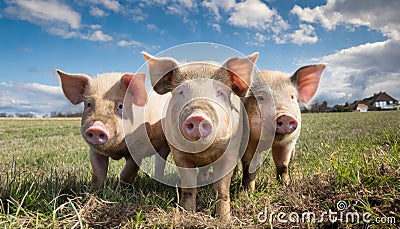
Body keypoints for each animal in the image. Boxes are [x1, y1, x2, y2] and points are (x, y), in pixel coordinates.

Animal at [142, 51, 258, 219]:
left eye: (220, 92)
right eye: (181, 92)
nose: (197, 116)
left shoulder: (230, 150)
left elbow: (223, 188)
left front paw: (224, 219)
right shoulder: (178, 154)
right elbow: (189, 186)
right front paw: (187, 212)